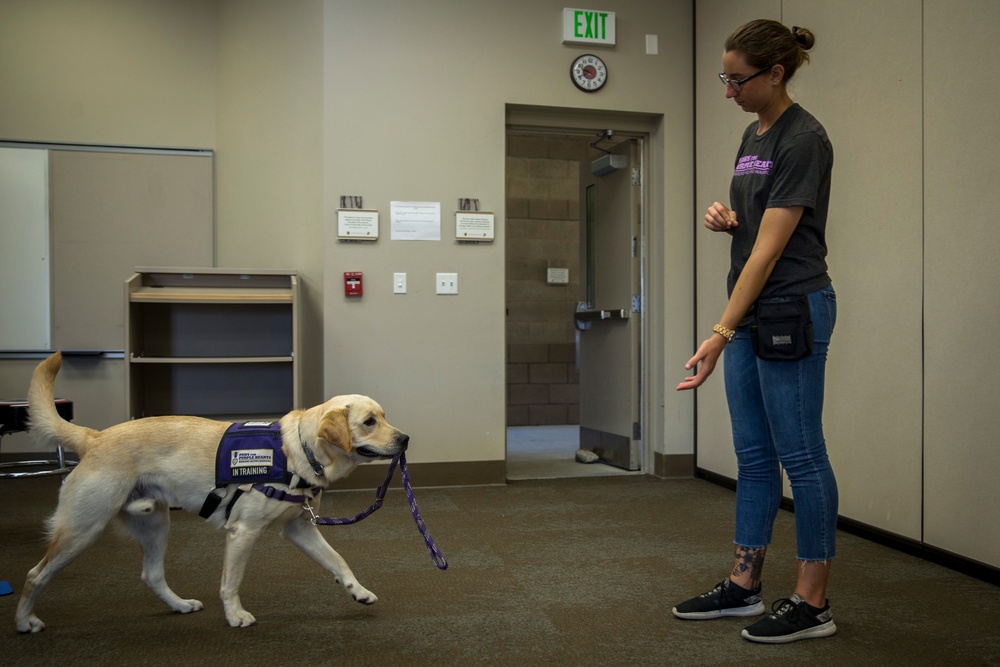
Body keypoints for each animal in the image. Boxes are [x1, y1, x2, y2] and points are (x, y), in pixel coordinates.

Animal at [15, 352, 408, 636]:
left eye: (385, 416)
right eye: (369, 422)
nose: (405, 438)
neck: (296, 451)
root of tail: (95, 437)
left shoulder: (299, 528)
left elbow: (338, 560)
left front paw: (357, 590)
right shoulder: (243, 532)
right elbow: (231, 581)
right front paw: (235, 615)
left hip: (155, 526)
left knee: (151, 575)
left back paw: (179, 605)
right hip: (83, 529)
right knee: (35, 574)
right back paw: (24, 621)